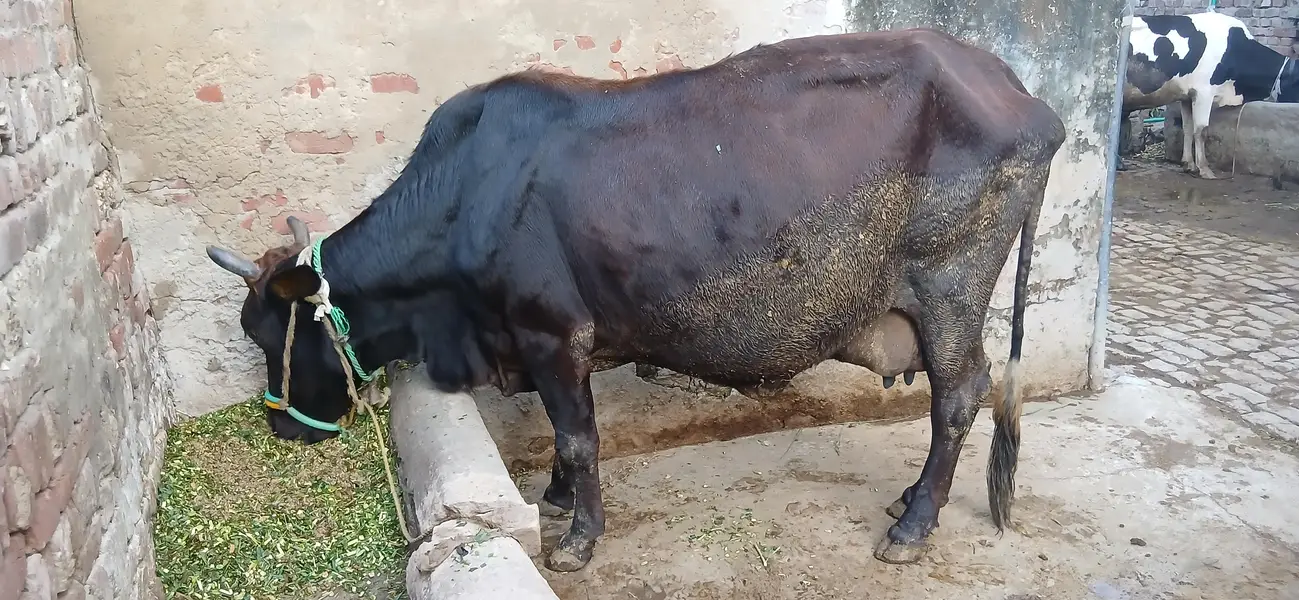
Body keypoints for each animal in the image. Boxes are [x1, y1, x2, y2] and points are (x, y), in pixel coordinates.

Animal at [205, 28, 1066, 572]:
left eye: (268, 334)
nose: (282, 426)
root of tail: (1017, 90)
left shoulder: (551, 335)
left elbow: (579, 438)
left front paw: (577, 538)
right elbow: (562, 439)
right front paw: (555, 500)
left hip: (949, 286)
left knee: (957, 396)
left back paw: (914, 526)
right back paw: (909, 500)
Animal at [1120, 11, 1299, 177]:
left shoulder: (1187, 96)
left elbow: (1187, 128)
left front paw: (1189, 164)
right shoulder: (1204, 92)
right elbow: (1201, 130)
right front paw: (1204, 169)